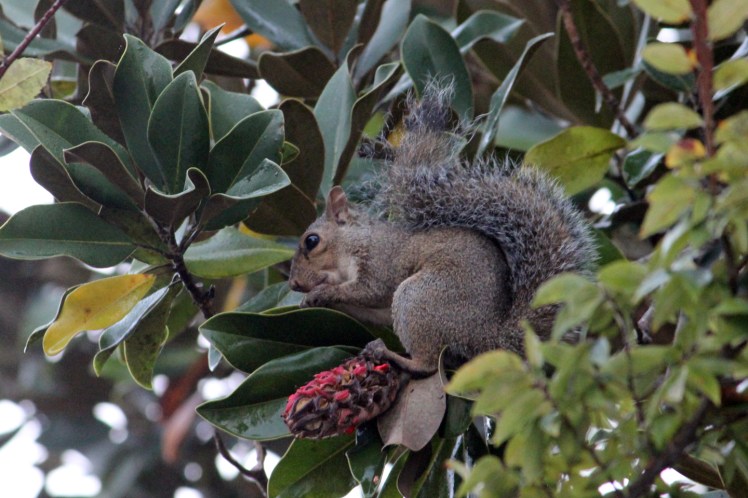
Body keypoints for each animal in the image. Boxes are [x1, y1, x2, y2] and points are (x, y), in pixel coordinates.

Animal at [288, 86, 597, 377]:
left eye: (312, 241)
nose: (293, 284)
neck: (356, 242)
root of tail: (489, 336)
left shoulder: (381, 262)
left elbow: (369, 290)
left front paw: (323, 292)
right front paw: (310, 299)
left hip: (418, 298)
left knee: (426, 363)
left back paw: (391, 355)